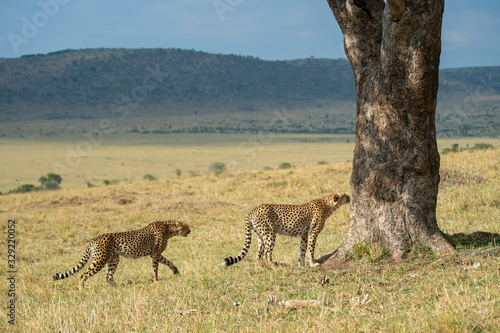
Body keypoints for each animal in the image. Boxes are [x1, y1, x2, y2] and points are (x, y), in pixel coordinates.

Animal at [52, 219, 189, 286]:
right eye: (186, 226)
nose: (190, 231)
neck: (169, 228)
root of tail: (93, 239)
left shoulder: (154, 254)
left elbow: (168, 262)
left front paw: (176, 271)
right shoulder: (155, 253)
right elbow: (155, 268)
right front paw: (156, 280)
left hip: (113, 259)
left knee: (108, 277)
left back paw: (119, 288)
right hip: (100, 260)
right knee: (82, 275)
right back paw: (82, 288)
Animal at [221, 192, 350, 268]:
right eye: (344, 195)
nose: (349, 196)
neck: (327, 205)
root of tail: (254, 209)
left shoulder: (304, 234)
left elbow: (302, 250)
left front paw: (301, 265)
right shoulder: (312, 232)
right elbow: (311, 250)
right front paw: (313, 264)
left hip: (260, 236)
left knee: (258, 255)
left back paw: (265, 268)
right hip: (270, 233)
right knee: (266, 254)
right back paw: (274, 268)